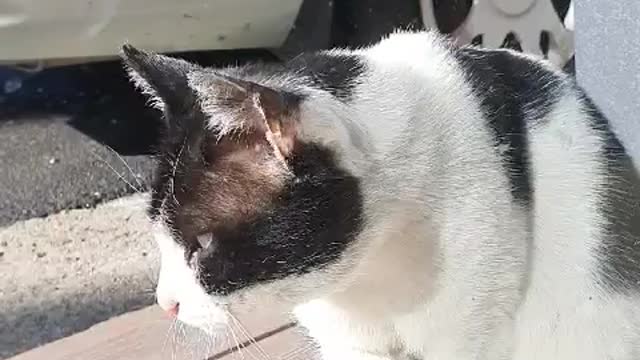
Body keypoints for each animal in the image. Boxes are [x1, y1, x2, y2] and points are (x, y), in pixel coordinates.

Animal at [121, 31, 640, 360]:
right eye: (160, 239)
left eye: (201, 246)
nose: (165, 303)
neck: (369, 273)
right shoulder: (349, 343)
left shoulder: (467, 333)